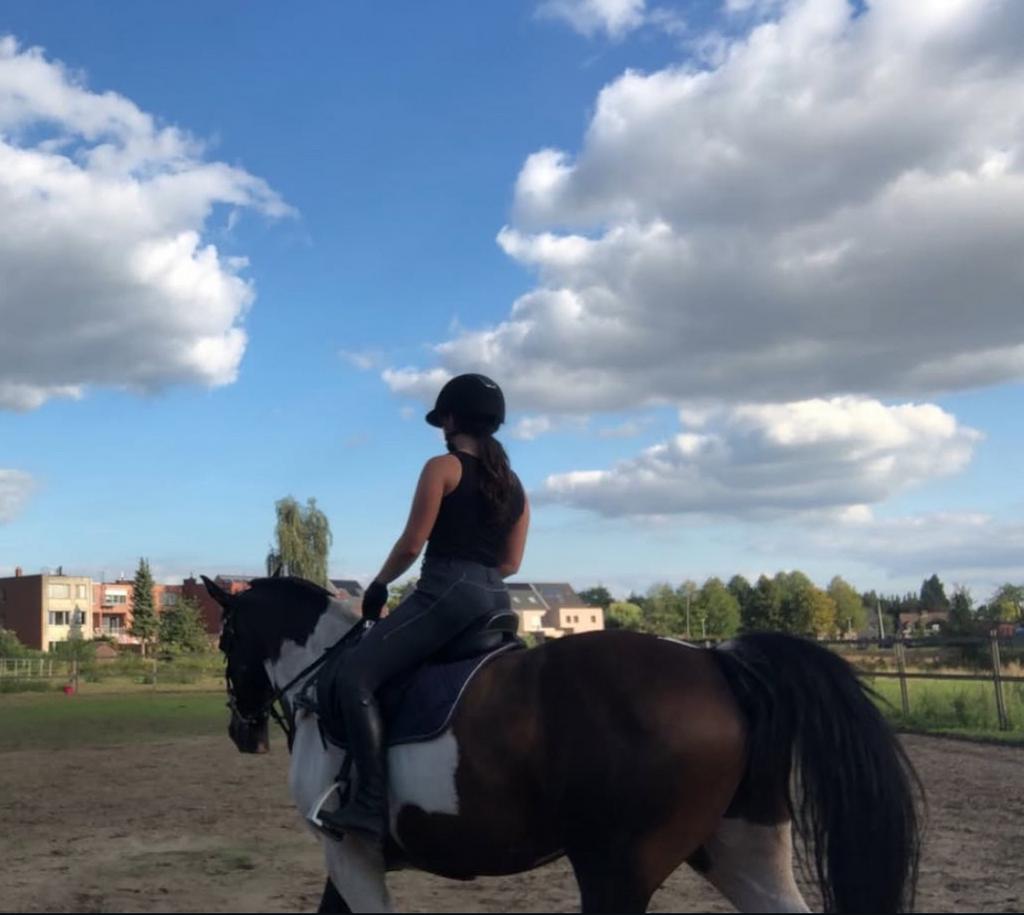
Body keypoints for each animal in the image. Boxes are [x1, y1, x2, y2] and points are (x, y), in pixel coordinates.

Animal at [206, 574, 922, 913]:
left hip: (618, 870)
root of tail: (717, 662)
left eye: (226, 636)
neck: (321, 671)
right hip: (739, 847)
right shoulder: (349, 857)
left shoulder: (349, 850)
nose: (242, 731)